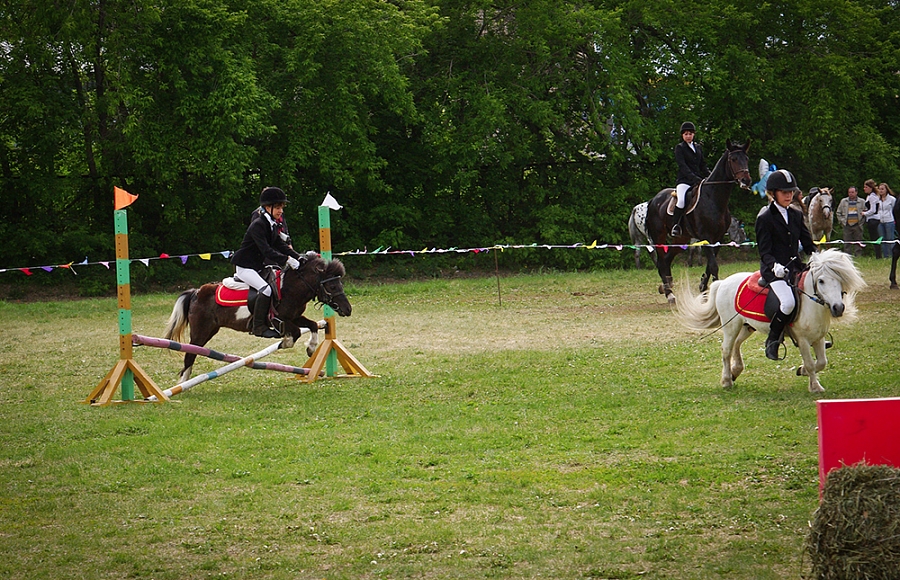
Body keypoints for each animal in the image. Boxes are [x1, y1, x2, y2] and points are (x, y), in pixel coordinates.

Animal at [648, 140, 752, 304]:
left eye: (746, 159)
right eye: (733, 159)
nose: (746, 181)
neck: (714, 198)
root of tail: (653, 199)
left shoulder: (718, 238)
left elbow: (710, 264)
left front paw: (703, 286)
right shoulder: (706, 236)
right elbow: (714, 265)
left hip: (681, 238)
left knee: (667, 258)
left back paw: (668, 286)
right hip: (659, 235)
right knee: (661, 261)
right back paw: (669, 293)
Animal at [676, 249, 864, 394]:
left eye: (840, 280)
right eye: (821, 281)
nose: (838, 308)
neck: (811, 303)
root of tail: (723, 283)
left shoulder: (818, 338)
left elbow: (822, 363)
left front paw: (802, 372)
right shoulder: (803, 340)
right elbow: (811, 364)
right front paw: (815, 386)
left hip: (747, 326)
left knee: (737, 344)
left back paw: (735, 371)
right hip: (731, 326)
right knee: (726, 350)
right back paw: (727, 380)